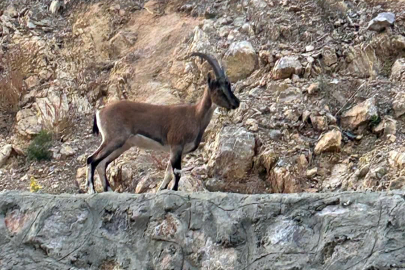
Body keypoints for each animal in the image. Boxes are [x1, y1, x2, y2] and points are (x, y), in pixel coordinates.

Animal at [84, 52, 237, 194]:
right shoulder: (176, 146)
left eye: (229, 86)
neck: (195, 115)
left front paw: (161, 189)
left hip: (122, 145)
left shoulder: (180, 151)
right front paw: (173, 190)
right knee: (92, 159)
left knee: (102, 163)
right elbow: (176, 173)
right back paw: (92, 190)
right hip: (114, 139)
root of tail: (100, 112)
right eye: (219, 89)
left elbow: (168, 173)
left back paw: (108, 190)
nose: (236, 103)